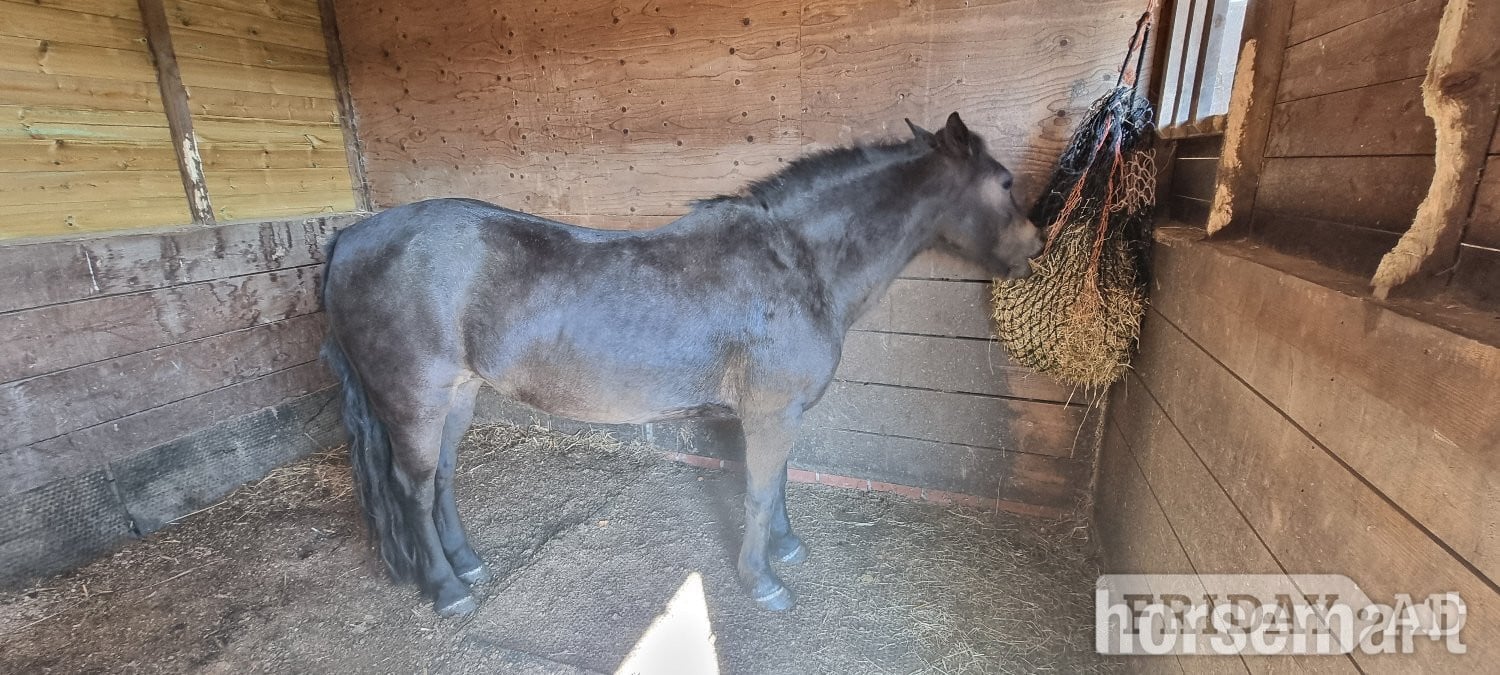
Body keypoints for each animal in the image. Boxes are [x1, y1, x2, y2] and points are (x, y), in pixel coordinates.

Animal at [321, 112, 1042, 617]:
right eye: (1005, 182)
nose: (1035, 245)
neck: (796, 261)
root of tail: (351, 237)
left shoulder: (777, 412)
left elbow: (778, 481)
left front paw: (785, 547)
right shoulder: (770, 412)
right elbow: (758, 490)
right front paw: (763, 580)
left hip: (459, 396)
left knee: (442, 477)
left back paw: (467, 562)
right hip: (414, 400)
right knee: (412, 488)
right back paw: (447, 589)